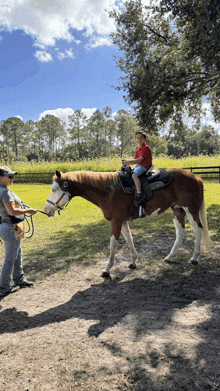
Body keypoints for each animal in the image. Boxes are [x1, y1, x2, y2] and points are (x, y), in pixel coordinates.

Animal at [43, 169, 211, 278]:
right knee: (180, 232)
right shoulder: (122, 221)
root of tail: (196, 177)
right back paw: (170, 257)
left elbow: (113, 244)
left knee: (198, 230)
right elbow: (129, 239)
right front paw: (133, 261)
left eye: (54, 189)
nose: (46, 210)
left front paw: (107, 269)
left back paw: (195, 258)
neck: (109, 190)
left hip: (191, 209)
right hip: (177, 210)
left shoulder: (116, 221)